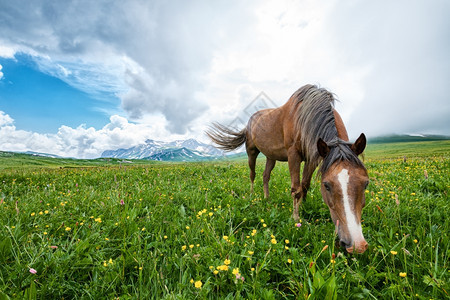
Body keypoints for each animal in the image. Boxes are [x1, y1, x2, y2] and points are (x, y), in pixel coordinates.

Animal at [207, 84, 370, 253]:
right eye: (326, 185)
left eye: (366, 183)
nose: (357, 245)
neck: (305, 117)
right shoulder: (294, 155)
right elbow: (296, 189)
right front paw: (296, 218)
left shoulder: (312, 157)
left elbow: (305, 185)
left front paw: (303, 205)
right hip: (251, 152)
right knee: (253, 174)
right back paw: (252, 195)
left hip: (270, 156)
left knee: (265, 176)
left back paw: (267, 198)